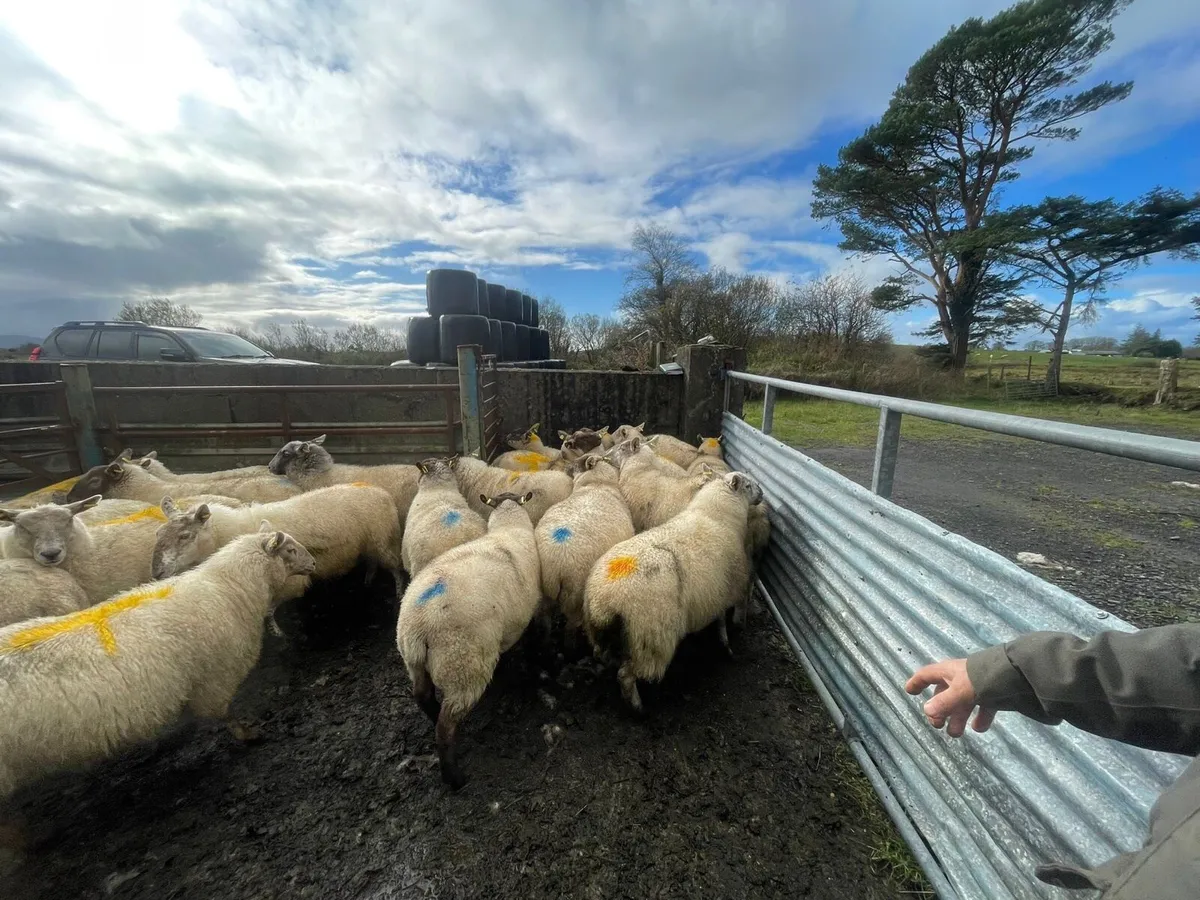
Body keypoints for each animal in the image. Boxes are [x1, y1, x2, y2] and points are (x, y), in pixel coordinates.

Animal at [0, 525, 315, 807]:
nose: (313, 563)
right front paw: (249, 734)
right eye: (290, 550)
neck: (229, 588)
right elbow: (226, 715)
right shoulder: (215, 679)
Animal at [149, 485, 401, 605]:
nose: (156, 572)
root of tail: (380, 491)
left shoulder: (290, 582)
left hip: (382, 539)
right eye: (158, 533)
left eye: (184, 536)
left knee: (395, 566)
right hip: (369, 543)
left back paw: (398, 592)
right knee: (372, 561)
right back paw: (368, 579)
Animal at [396, 490, 541, 789]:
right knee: (446, 727)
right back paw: (455, 778)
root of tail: (418, 626)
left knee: (422, 696)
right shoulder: (529, 613)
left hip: (414, 662)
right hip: (463, 665)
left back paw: (431, 714)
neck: (508, 528)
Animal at [534, 455, 634, 654]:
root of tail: (554, 565)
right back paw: (570, 648)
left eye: (576, 462)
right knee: (570, 627)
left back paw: (545, 644)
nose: (565, 469)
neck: (597, 484)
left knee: (546, 621)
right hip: (574, 594)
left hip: (544, 594)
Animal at [583, 472, 763, 712]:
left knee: (602, 654)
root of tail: (604, 599)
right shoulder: (723, 589)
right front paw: (727, 647)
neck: (717, 515)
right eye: (748, 485)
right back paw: (637, 707)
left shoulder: (716, 592)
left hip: (603, 631)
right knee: (626, 675)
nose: (763, 494)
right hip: (650, 639)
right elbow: (722, 622)